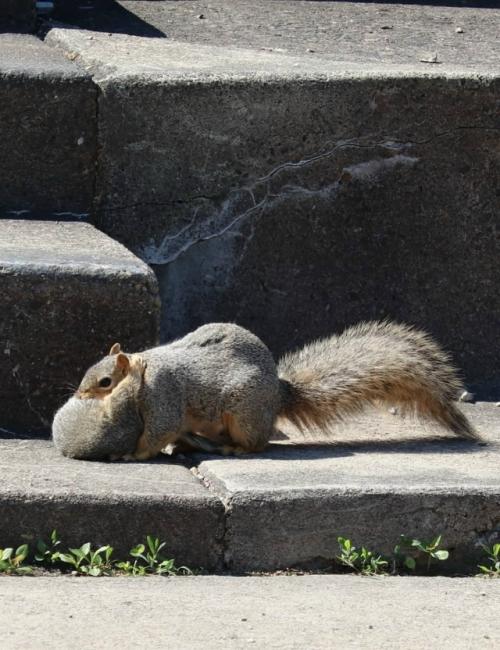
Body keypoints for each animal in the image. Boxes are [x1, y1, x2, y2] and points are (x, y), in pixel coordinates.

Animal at [52, 320, 479, 461]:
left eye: (105, 382)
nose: (79, 397)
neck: (145, 366)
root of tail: (277, 395)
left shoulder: (162, 394)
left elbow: (157, 431)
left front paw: (133, 454)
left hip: (242, 414)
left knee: (259, 443)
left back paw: (234, 450)